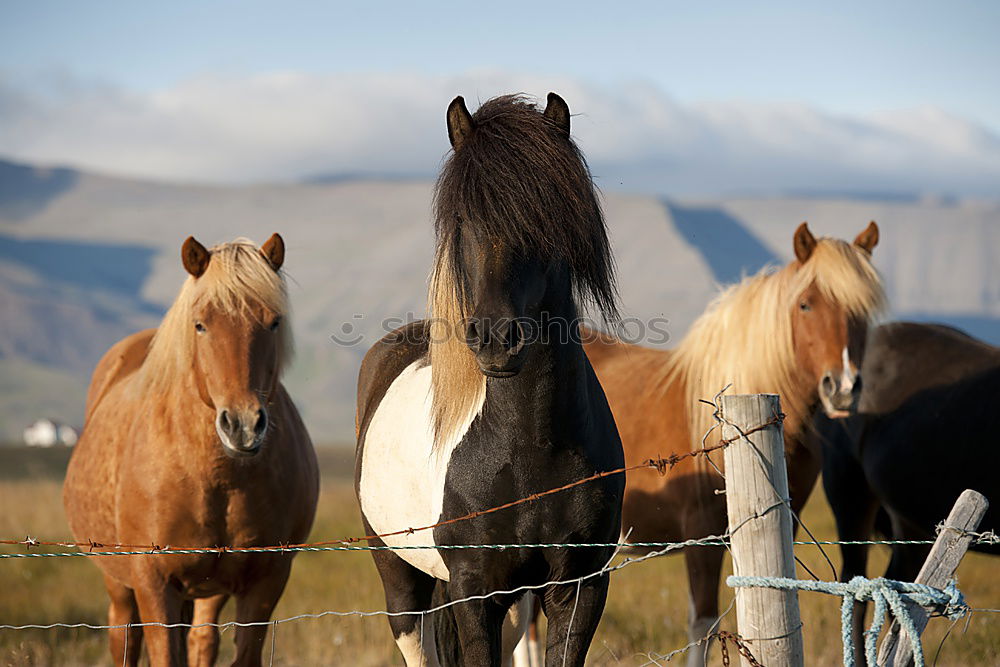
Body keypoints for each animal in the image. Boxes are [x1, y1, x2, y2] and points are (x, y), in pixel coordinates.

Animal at [62, 236, 318, 667]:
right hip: (119, 584)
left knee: (201, 639)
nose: (243, 425)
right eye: (201, 324)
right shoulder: (153, 580)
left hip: (209, 590)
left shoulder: (265, 582)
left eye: (273, 322)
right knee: (125, 637)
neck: (217, 475)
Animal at [356, 91, 624, 664]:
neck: (531, 444)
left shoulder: (580, 587)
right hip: (398, 575)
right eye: (463, 216)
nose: (496, 338)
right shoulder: (474, 591)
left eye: (546, 214)